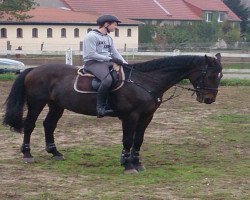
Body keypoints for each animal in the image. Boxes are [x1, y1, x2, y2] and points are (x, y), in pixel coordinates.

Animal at [2, 54, 223, 174]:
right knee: (30, 125)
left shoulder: (146, 117)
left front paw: (137, 162)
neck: (145, 81)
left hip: (56, 105)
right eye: (210, 75)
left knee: (49, 125)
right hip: (36, 103)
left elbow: (138, 140)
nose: (209, 99)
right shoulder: (131, 117)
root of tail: (34, 69)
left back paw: (55, 153)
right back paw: (27, 154)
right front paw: (127, 165)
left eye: (220, 75)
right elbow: (127, 140)